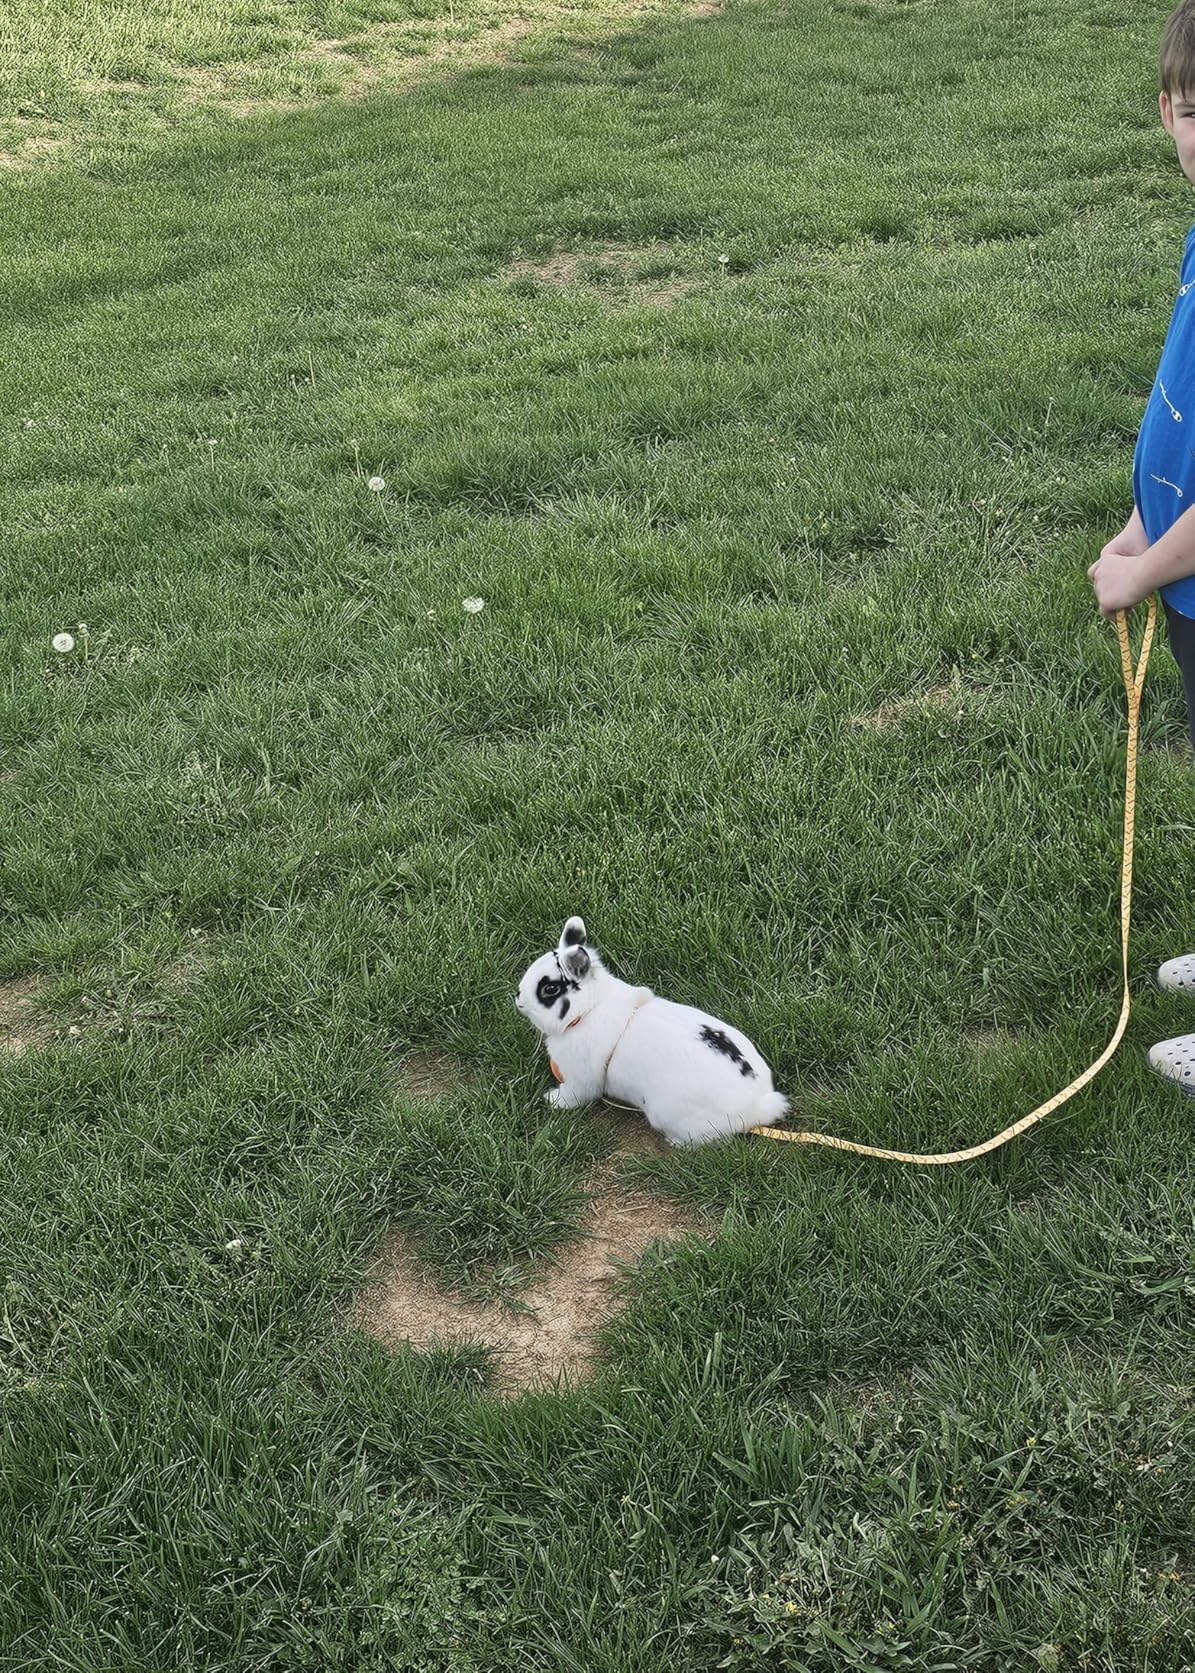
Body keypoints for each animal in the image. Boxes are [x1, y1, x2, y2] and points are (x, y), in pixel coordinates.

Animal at [514, 916, 789, 1146]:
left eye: (550, 989)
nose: (518, 999)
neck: (588, 1009)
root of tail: (760, 1104)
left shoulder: (580, 1080)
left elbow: (573, 1097)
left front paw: (551, 1100)